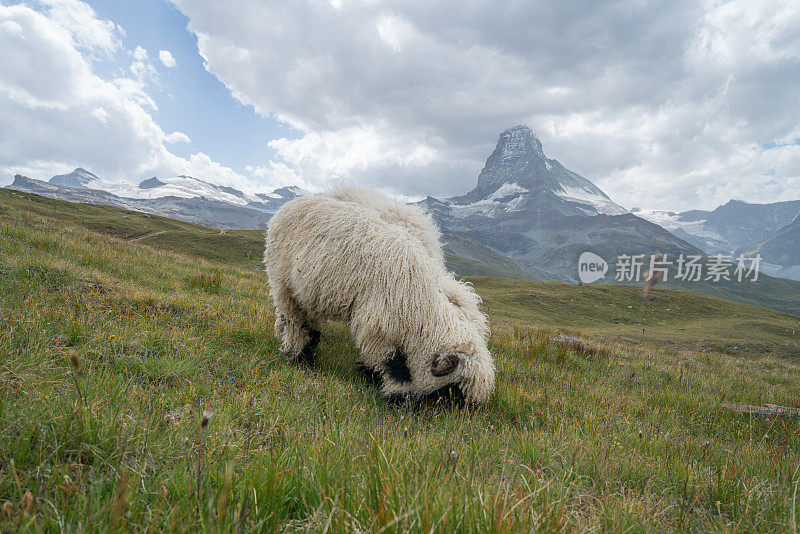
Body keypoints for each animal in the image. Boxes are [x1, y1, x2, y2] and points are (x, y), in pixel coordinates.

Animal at [266, 191, 496, 404]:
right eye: (453, 389)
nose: (453, 415)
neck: (419, 299)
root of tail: (292, 203)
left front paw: (370, 373)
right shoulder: (380, 325)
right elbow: (394, 363)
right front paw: (399, 396)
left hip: (309, 291)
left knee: (308, 320)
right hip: (283, 283)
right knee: (293, 320)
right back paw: (298, 356)